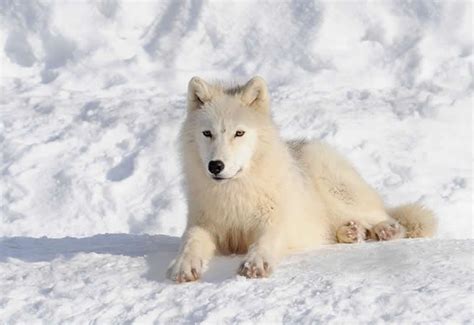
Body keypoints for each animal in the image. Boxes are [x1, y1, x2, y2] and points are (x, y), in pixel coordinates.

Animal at [168, 76, 436, 280]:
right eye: (207, 133)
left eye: (239, 133)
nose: (216, 166)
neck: (234, 194)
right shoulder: (202, 224)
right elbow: (190, 240)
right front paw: (183, 265)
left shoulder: (274, 220)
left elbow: (265, 242)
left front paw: (255, 264)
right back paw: (351, 232)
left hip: (337, 193)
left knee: (386, 217)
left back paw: (386, 230)